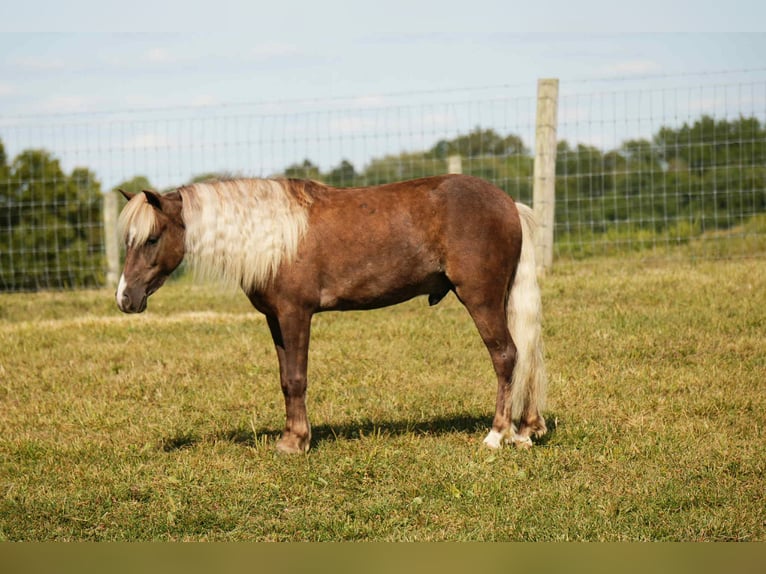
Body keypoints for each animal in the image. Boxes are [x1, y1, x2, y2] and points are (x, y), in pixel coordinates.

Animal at [116, 174, 547, 453]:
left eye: (152, 238)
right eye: (128, 241)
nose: (125, 298)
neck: (276, 236)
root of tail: (508, 203)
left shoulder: (296, 314)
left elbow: (297, 378)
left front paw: (296, 443)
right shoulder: (275, 319)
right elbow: (284, 379)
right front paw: (291, 437)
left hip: (481, 299)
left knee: (506, 356)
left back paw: (497, 436)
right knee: (523, 355)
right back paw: (526, 431)